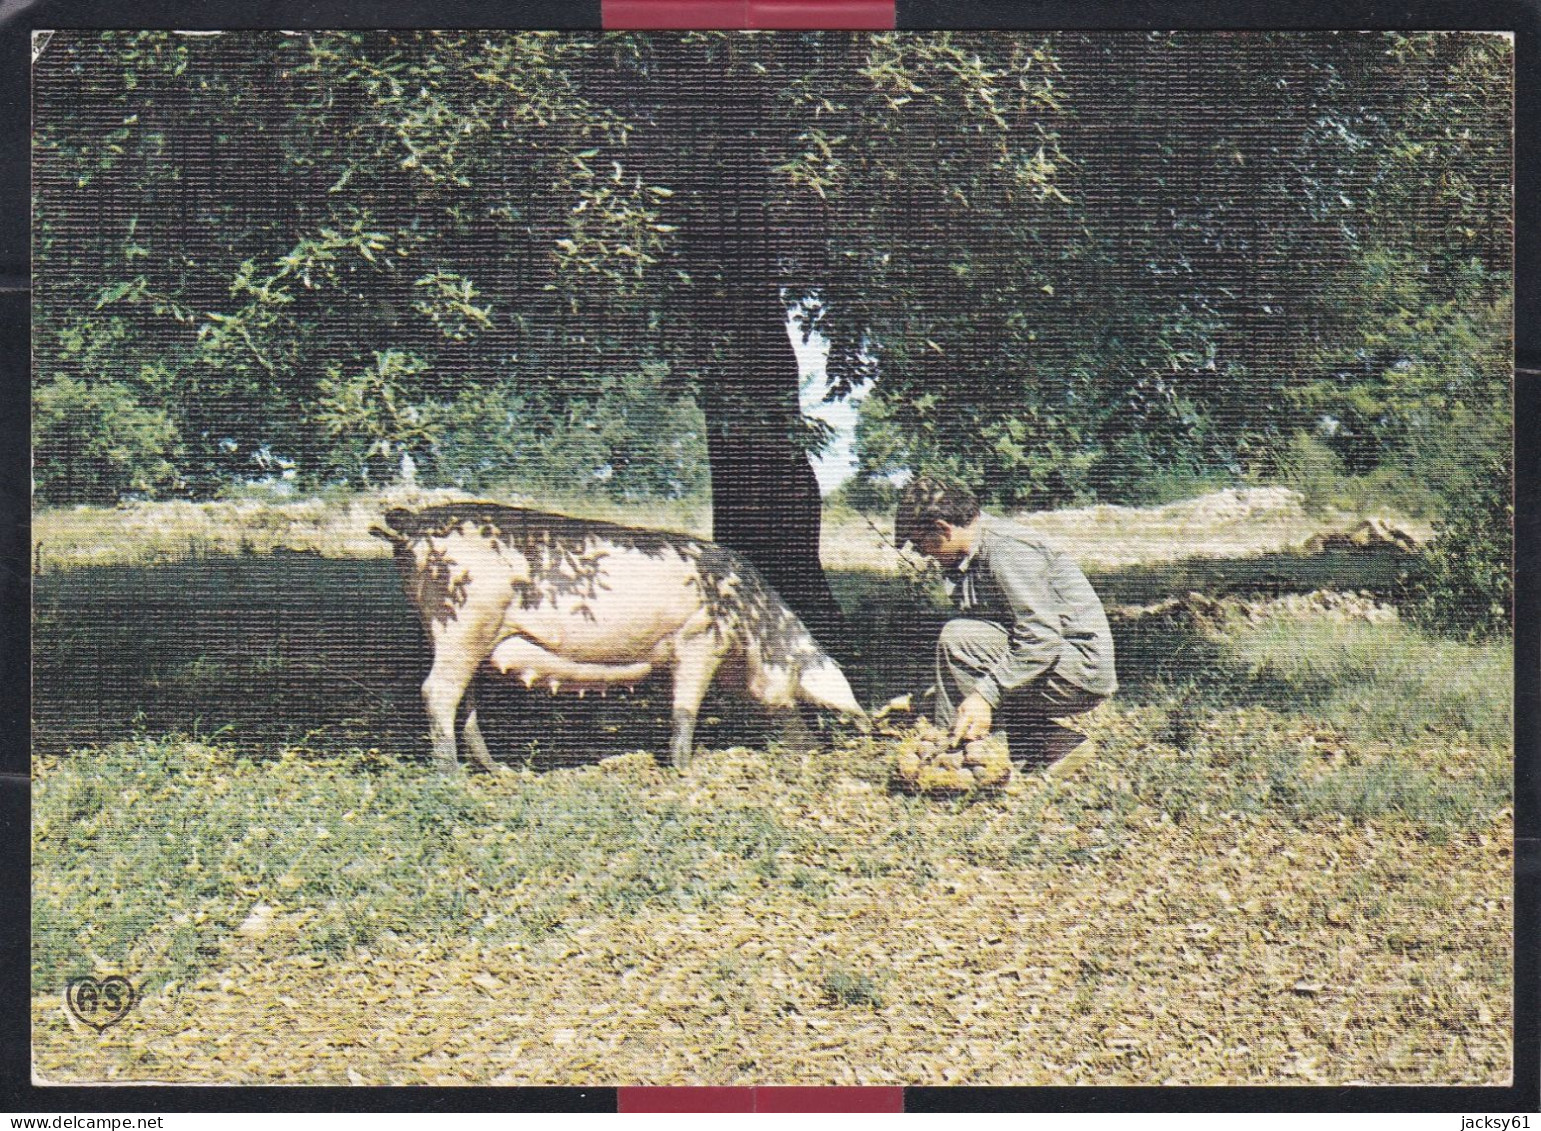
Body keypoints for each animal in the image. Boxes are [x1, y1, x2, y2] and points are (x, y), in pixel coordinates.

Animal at [366, 502, 862, 776]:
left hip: (462, 634)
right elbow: (686, 709)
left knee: (464, 702)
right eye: (800, 697)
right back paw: (452, 776)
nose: (813, 748)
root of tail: (413, 524)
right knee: (435, 691)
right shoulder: (701, 638)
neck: (754, 627)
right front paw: (685, 769)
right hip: (463, 620)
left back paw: (500, 770)